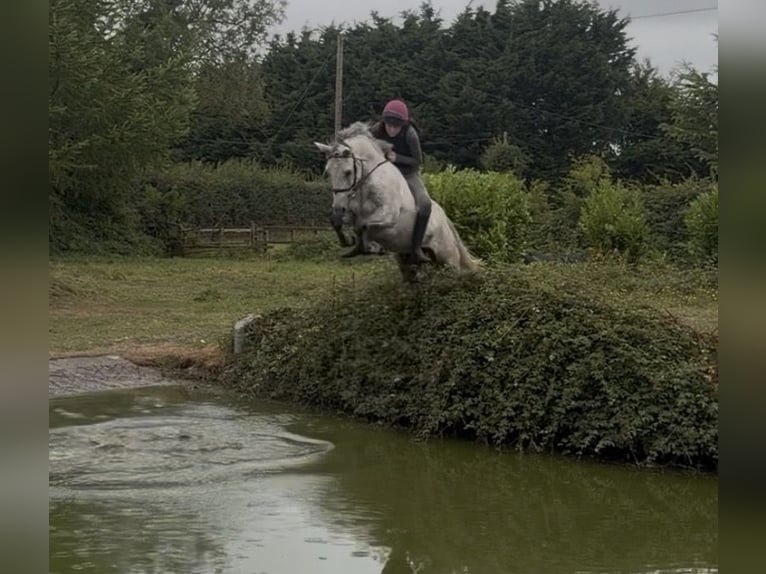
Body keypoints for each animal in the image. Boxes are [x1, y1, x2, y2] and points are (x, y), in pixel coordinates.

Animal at [314, 122, 480, 280]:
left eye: (348, 172)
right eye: (328, 172)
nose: (338, 208)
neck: (365, 183)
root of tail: (446, 221)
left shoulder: (388, 216)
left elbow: (363, 226)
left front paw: (369, 247)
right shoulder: (352, 214)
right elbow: (339, 224)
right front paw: (349, 241)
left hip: (448, 259)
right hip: (409, 263)